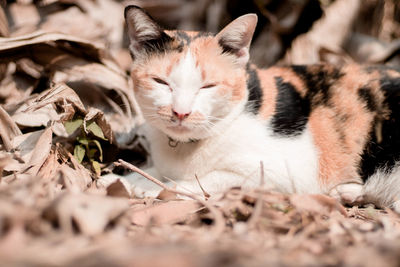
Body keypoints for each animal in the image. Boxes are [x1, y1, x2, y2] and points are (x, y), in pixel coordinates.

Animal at [102, 3, 400, 209]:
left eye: (207, 86)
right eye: (161, 82)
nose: (181, 112)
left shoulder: (284, 171)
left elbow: (198, 179)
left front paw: (150, 188)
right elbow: (152, 171)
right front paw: (122, 180)